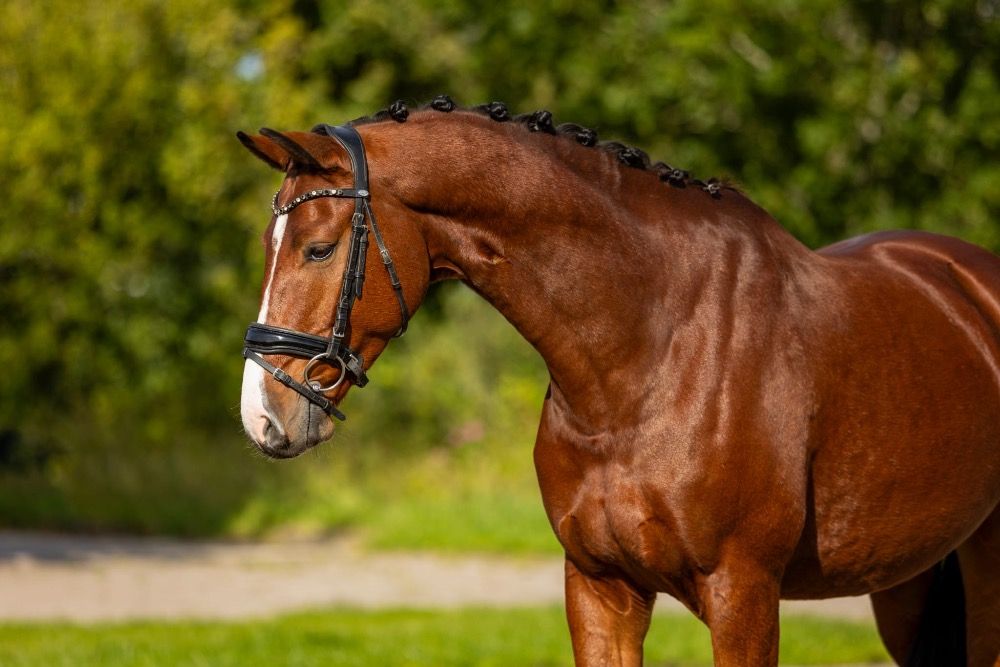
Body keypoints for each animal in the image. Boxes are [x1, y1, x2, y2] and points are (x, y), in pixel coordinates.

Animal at [237, 97, 1000, 666]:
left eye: (318, 248)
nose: (263, 415)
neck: (648, 361)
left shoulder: (743, 593)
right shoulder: (599, 587)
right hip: (907, 584)